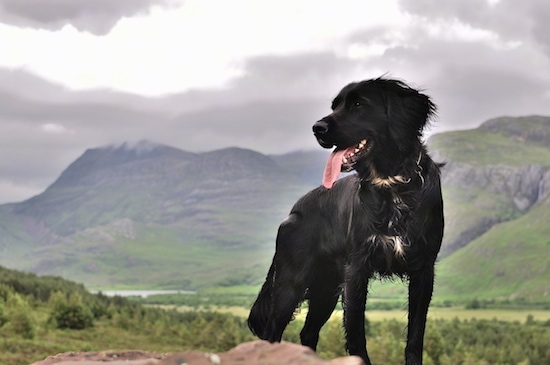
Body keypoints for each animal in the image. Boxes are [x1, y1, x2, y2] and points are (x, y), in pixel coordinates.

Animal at [248, 77, 446, 364]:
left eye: (358, 104)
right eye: (335, 106)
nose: (317, 128)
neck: (392, 184)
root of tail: (293, 212)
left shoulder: (423, 270)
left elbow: (415, 336)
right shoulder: (356, 271)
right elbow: (356, 334)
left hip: (325, 289)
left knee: (308, 332)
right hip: (290, 283)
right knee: (272, 332)